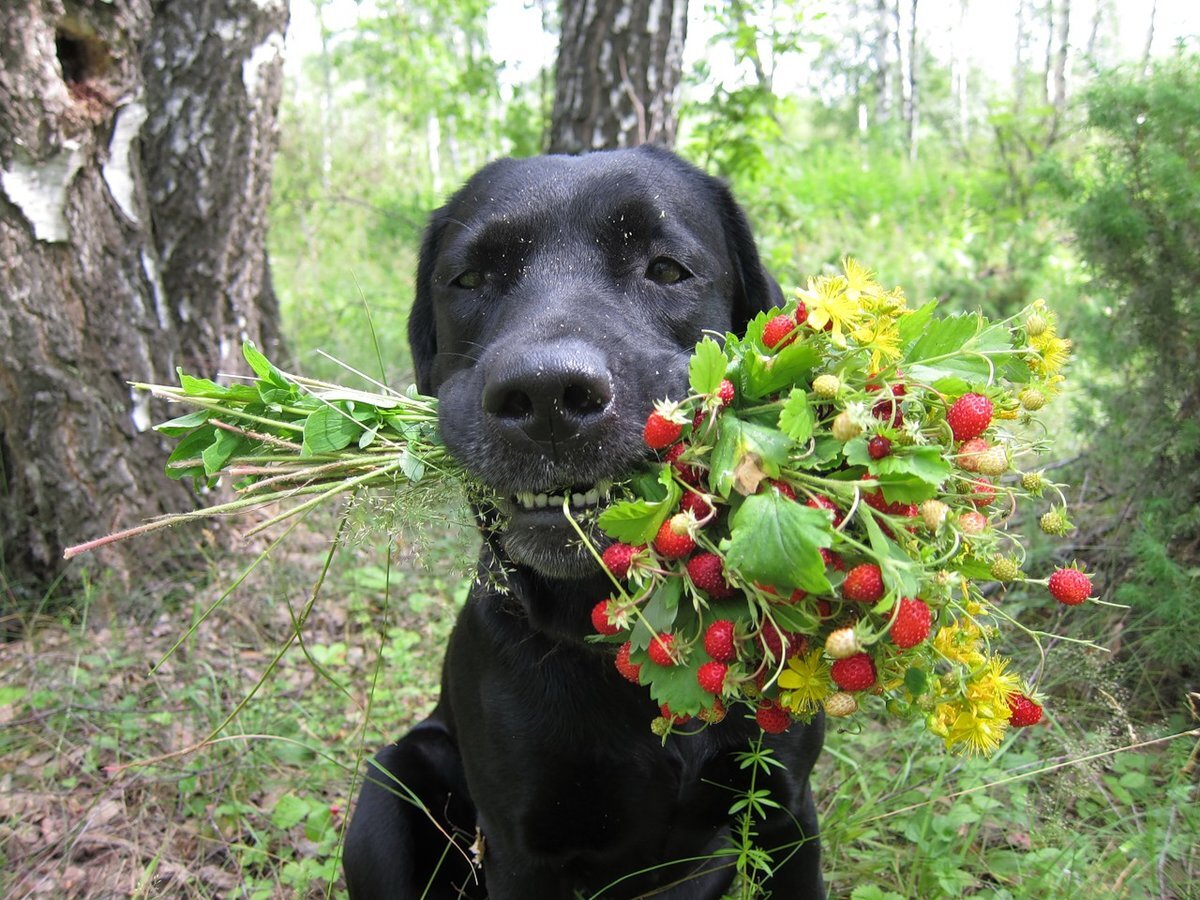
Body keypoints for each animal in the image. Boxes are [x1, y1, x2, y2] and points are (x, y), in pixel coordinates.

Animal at [343, 144, 820, 897]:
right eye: (469, 278)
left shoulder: (787, 813)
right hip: (387, 788)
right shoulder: (519, 851)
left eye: (666, 268)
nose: (546, 395)